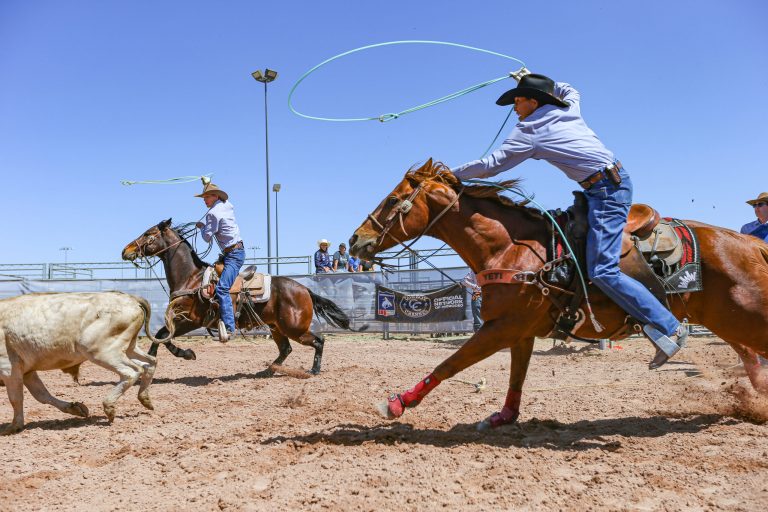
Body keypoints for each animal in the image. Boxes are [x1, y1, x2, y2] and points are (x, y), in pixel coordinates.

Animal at [124, 218, 366, 374]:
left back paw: (314, 370)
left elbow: (162, 336)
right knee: (286, 349)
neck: (192, 278)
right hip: (276, 327)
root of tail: (305, 289)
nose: (125, 250)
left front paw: (185, 354)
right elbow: (161, 336)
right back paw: (268, 370)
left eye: (148, 234)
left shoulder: (192, 320)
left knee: (319, 341)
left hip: (294, 328)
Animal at [350, 159, 768, 428]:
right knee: (750, 357)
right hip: (726, 320)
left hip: (744, 316)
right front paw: (503, 417)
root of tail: (749, 242)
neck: (512, 248)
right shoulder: (520, 331)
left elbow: (449, 364)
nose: (356, 239)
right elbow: (516, 377)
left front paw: (397, 404)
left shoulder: (500, 328)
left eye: (392, 200)